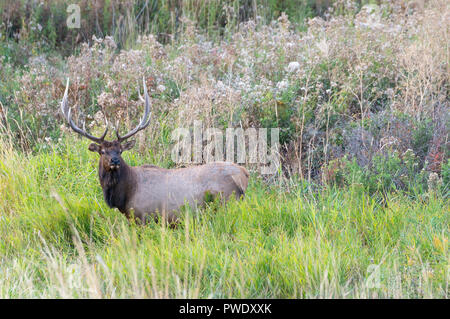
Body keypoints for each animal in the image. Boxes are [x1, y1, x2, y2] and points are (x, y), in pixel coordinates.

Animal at [60, 78, 250, 224]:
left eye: (120, 150)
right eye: (102, 151)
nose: (115, 160)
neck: (124, 194)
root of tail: (244, 174)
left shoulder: (144, 217)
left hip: (226, 200)